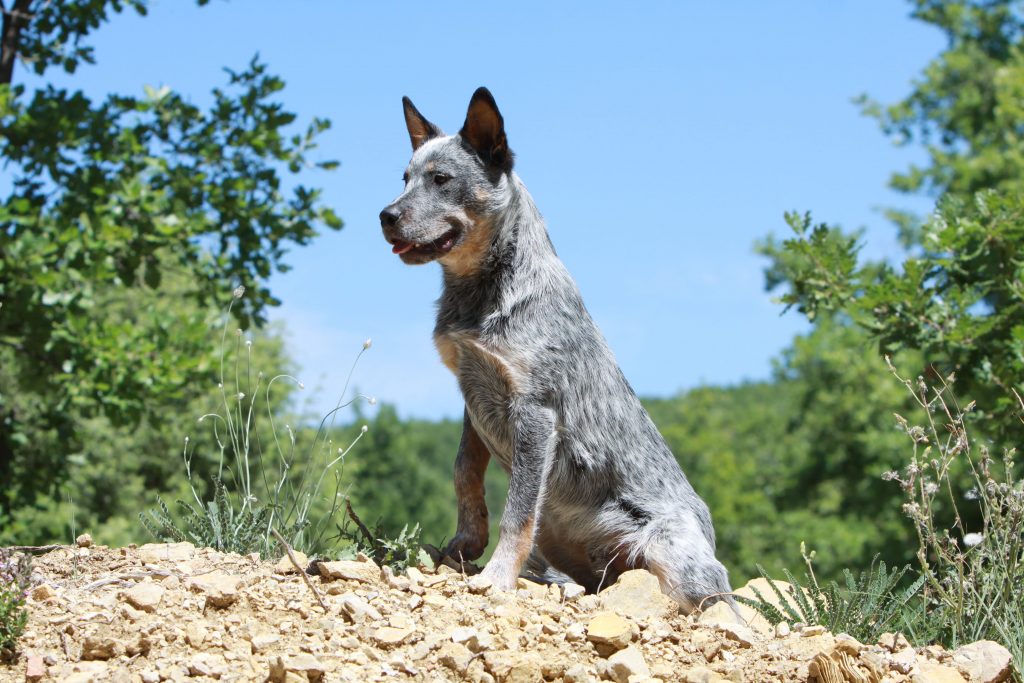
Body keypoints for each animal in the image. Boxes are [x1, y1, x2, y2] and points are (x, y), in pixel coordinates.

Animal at [380, 88, 733, 610]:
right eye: (404, 179)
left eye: (441, 179)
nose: (385, 216)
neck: (485, 293)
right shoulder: (473, 394)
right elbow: (464, 471)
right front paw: (466, 542)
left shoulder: (535, 412)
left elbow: (519, 509)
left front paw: (496, 576)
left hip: (678, 560)